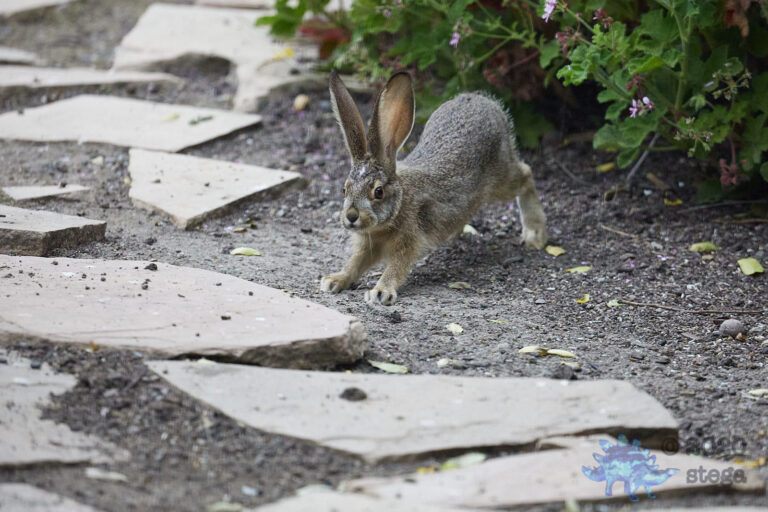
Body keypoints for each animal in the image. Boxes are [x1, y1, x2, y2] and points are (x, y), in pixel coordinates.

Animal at [320, 70, 547, 306]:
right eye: (344, 189)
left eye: (378, 192)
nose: (351, 216)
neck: (398, 205)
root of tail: (484, 101)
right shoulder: (368, 246)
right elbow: (355, 263)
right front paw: (335, 280)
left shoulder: (409, 241)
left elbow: (396, 267)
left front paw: (381, 292)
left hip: (500, 179)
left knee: (526, 174)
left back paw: (535, 234)